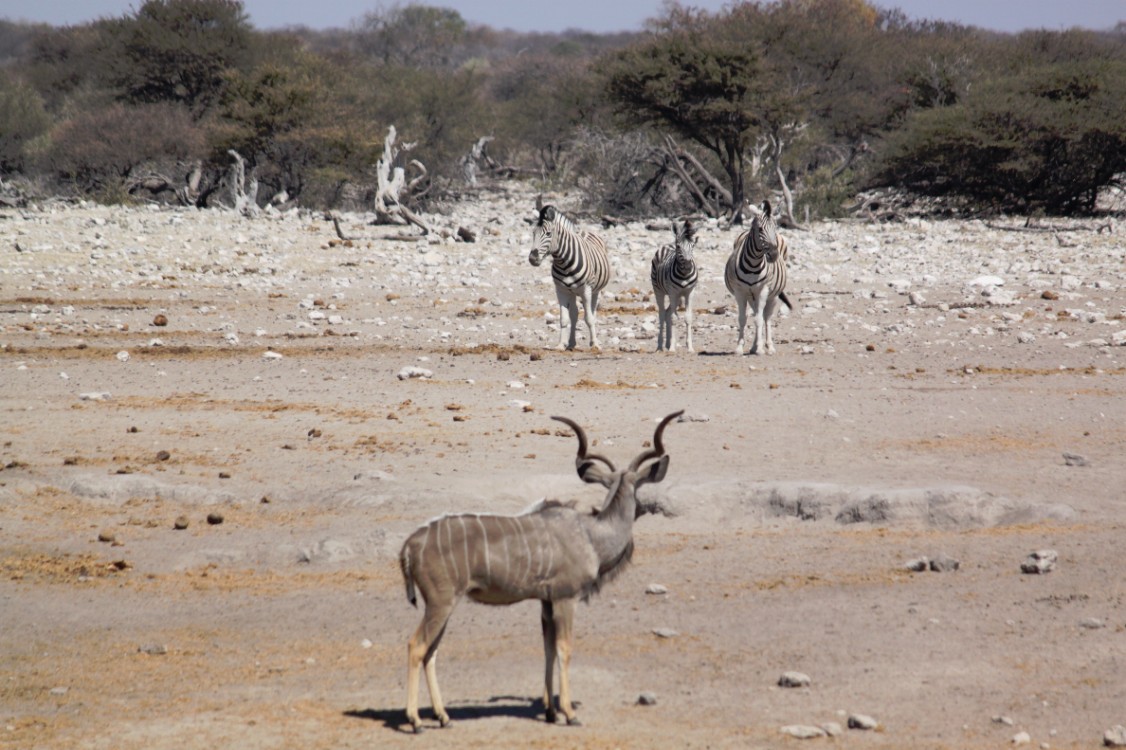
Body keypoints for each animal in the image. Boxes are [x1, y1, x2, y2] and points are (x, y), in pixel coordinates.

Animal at [529, 200, 617, 349]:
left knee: (592, 312)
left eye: (548, 234)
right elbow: (564, 319)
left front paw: (595, 344)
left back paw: (592, 341)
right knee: (574, 314)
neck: (564, 262)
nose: (532, 258)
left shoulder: (586, 290)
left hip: (595, 291)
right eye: (533, 233)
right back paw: (571, 343)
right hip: (572, 292)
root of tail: (583, 230)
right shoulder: (561, 290)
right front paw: (560, 345)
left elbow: (589, 318)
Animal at [653, 219, 693, 353]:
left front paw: (690, 347)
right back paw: (660, 346)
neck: (684, 275)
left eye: (693, 246)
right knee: (662, 314)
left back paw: (667, 343)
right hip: (659, 291)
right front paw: (672, 348)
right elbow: (674, 318)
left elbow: (687, 317)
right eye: (679, 247)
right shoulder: (673, 292)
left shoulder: (689, 293)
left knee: (667, 313)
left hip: (676, 297)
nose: (688, 266)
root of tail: (667, 245)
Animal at [720, 200, 792, 355]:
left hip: (772, 295)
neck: (753, 265)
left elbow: (759, 320)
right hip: (751, 296)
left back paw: (769, 346)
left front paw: (760, 348)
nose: (774, 255)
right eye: (759, 229)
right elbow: (743, 319)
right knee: (757, 314)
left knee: (766, 317)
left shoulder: (763, 290)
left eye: (776, 227)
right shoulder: (740, 291)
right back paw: (753, 346)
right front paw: (740, 347)